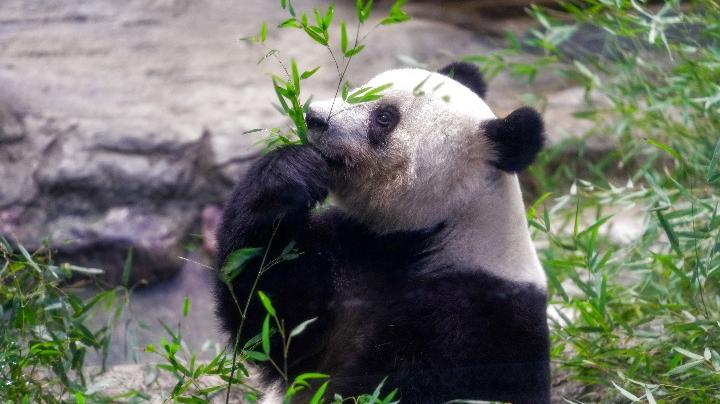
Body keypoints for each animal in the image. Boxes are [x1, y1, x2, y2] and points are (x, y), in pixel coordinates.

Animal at [214, 61, 552, 402]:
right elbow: (271, 318)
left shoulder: (478, 318)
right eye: (359, 91)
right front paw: (291, 173)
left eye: (385, 117)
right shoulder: (350, 250)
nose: (314, 118)